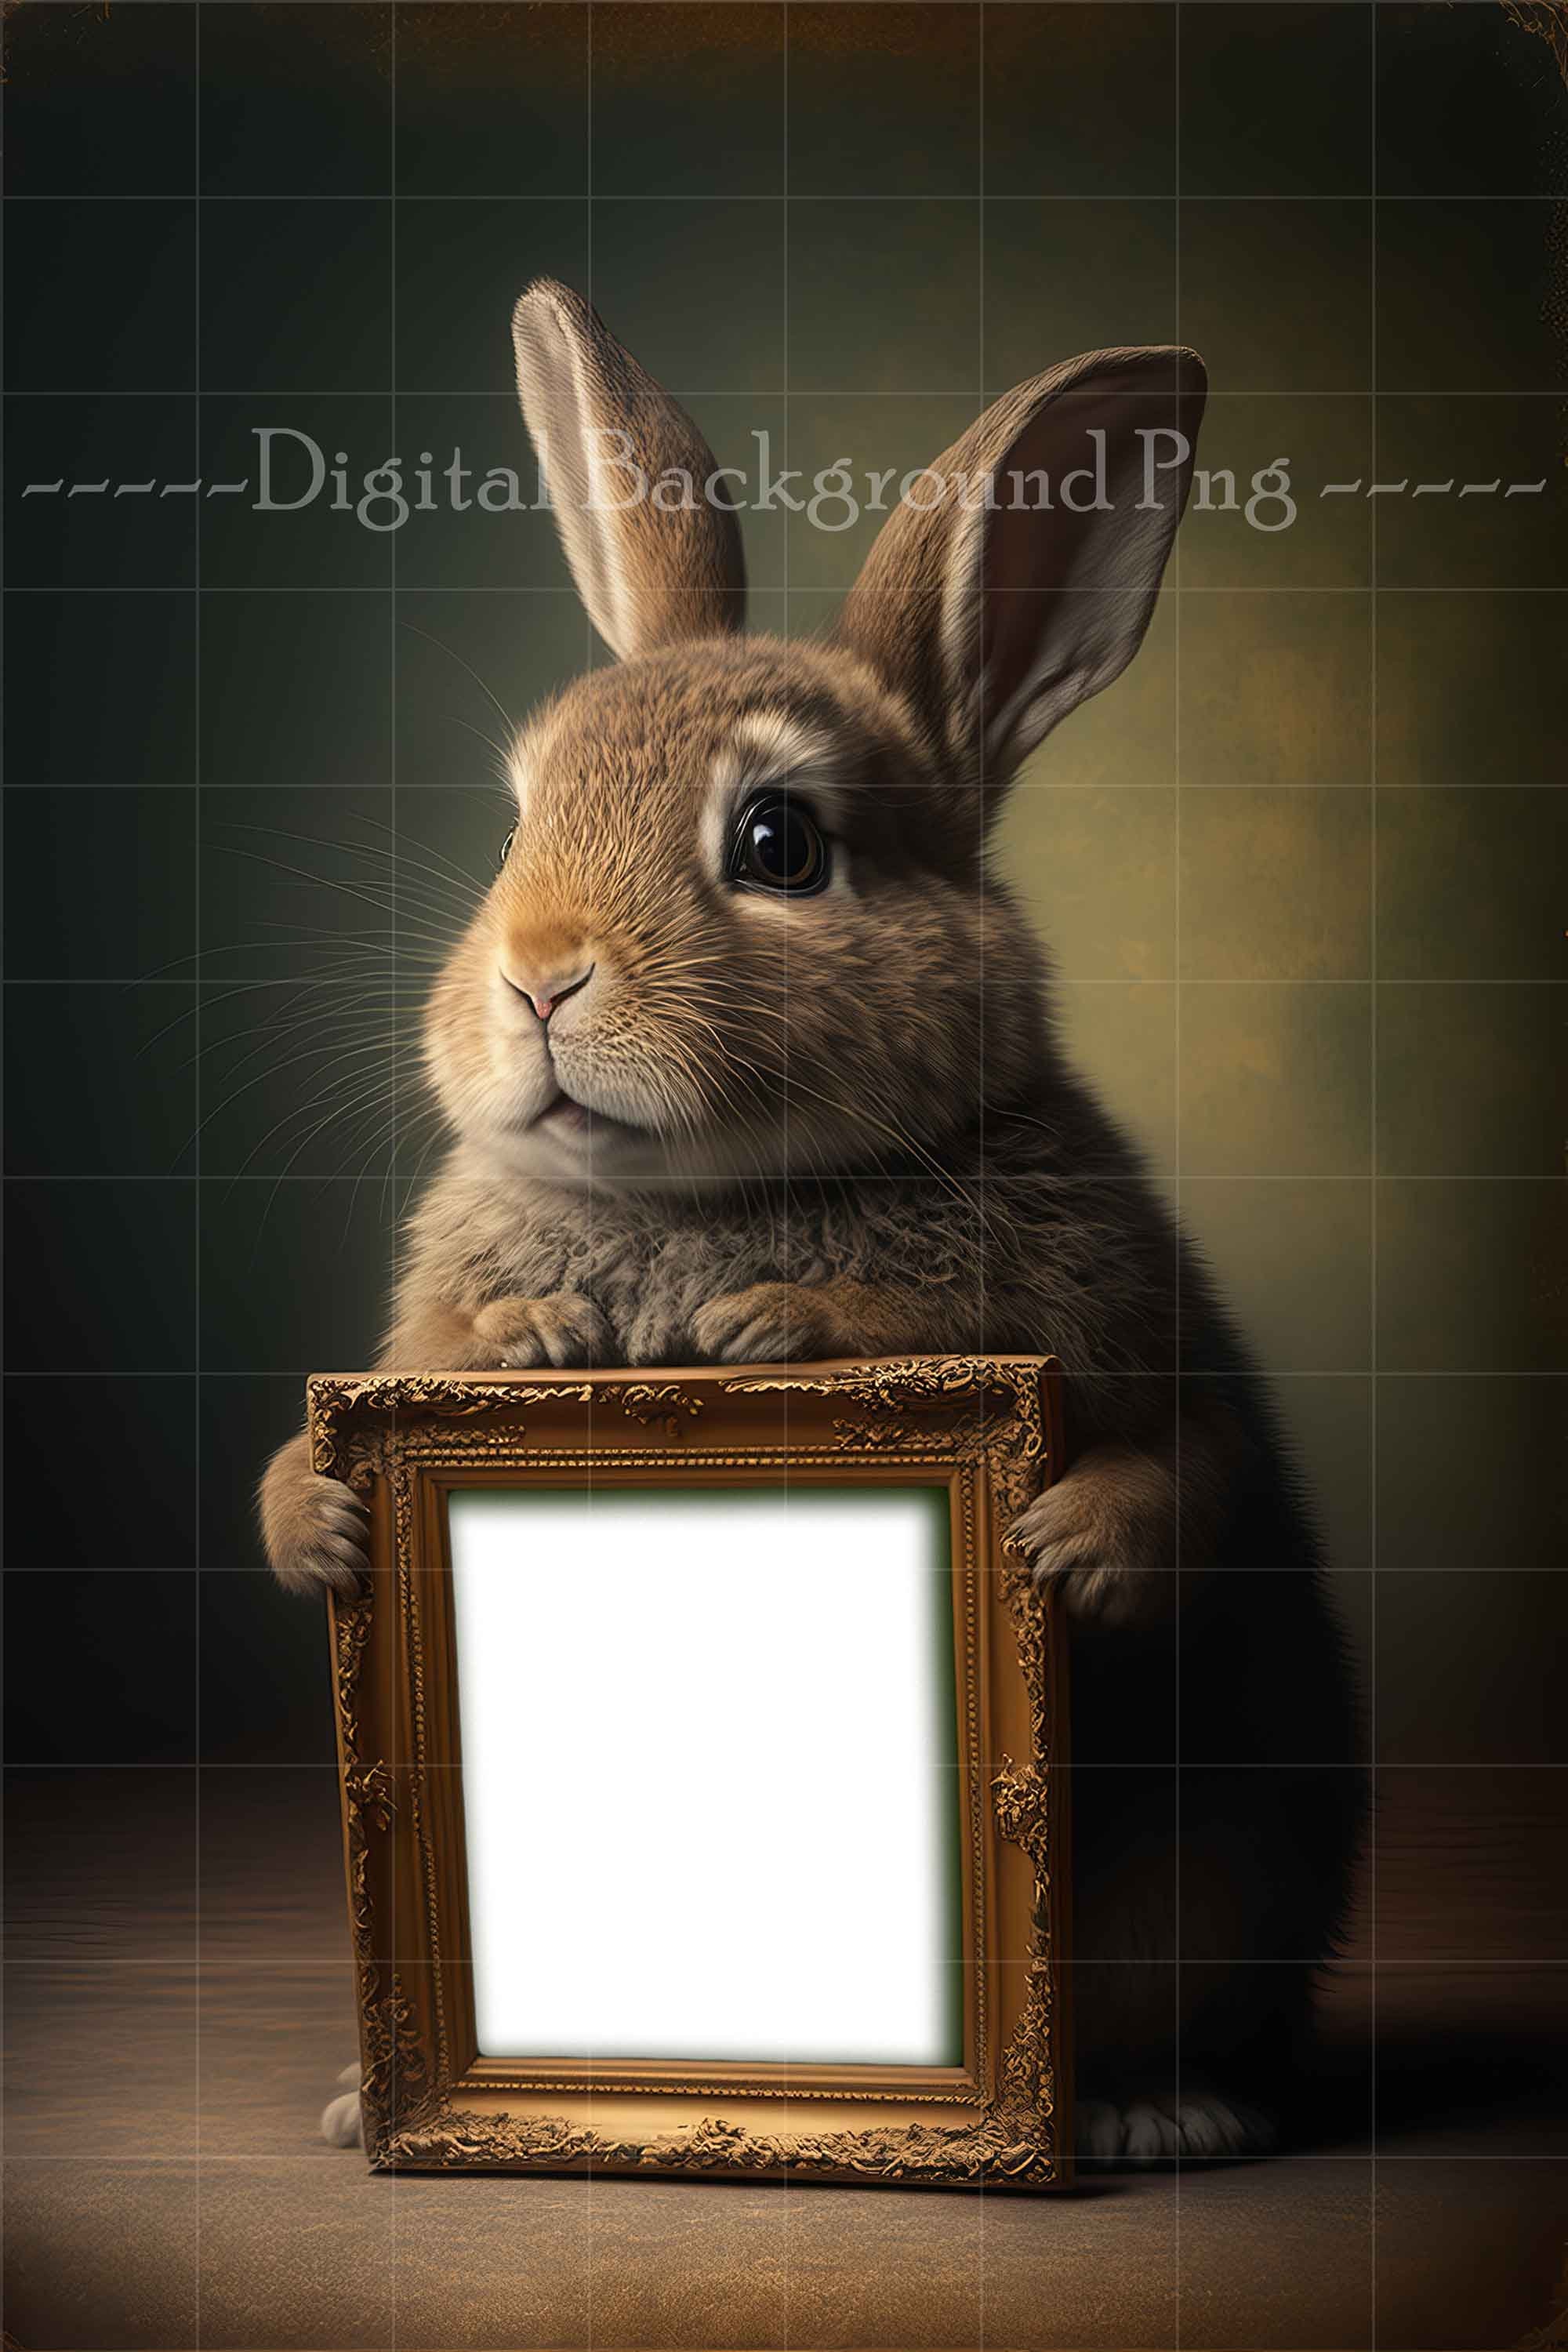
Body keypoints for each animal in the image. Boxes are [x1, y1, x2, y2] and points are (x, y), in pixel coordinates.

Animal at [262, 279, 1363, 2167]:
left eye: (778, 841)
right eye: (517, 821)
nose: (537, 975)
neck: (708, 1195)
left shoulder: (1129, 1330)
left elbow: (1180, 1469)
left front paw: (1028, 1520)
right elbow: (303, 1457)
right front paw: (391, 1468)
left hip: (1210, 1905)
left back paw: (1159, 2115)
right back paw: (355, 2098)